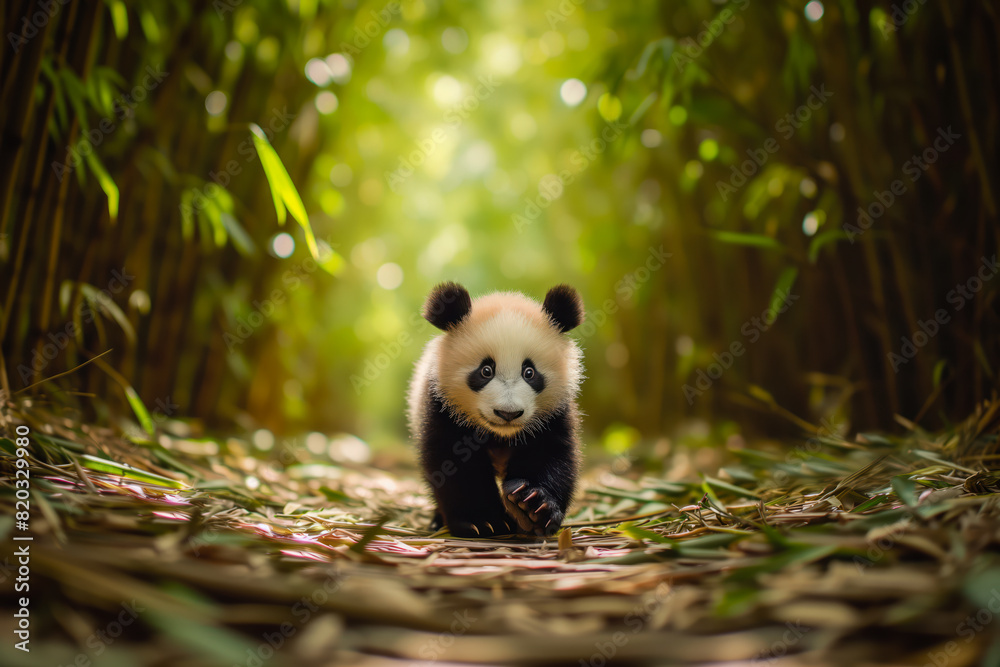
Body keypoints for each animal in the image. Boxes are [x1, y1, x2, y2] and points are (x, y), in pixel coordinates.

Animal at [408, 282, 585, 538]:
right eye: (486, 371)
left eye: (529, 372)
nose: (508, 413)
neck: (501, 435)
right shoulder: (443, 406)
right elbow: (452, 461)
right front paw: (481, 521)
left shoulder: (553, 413)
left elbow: (551, 453)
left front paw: (531, 506)